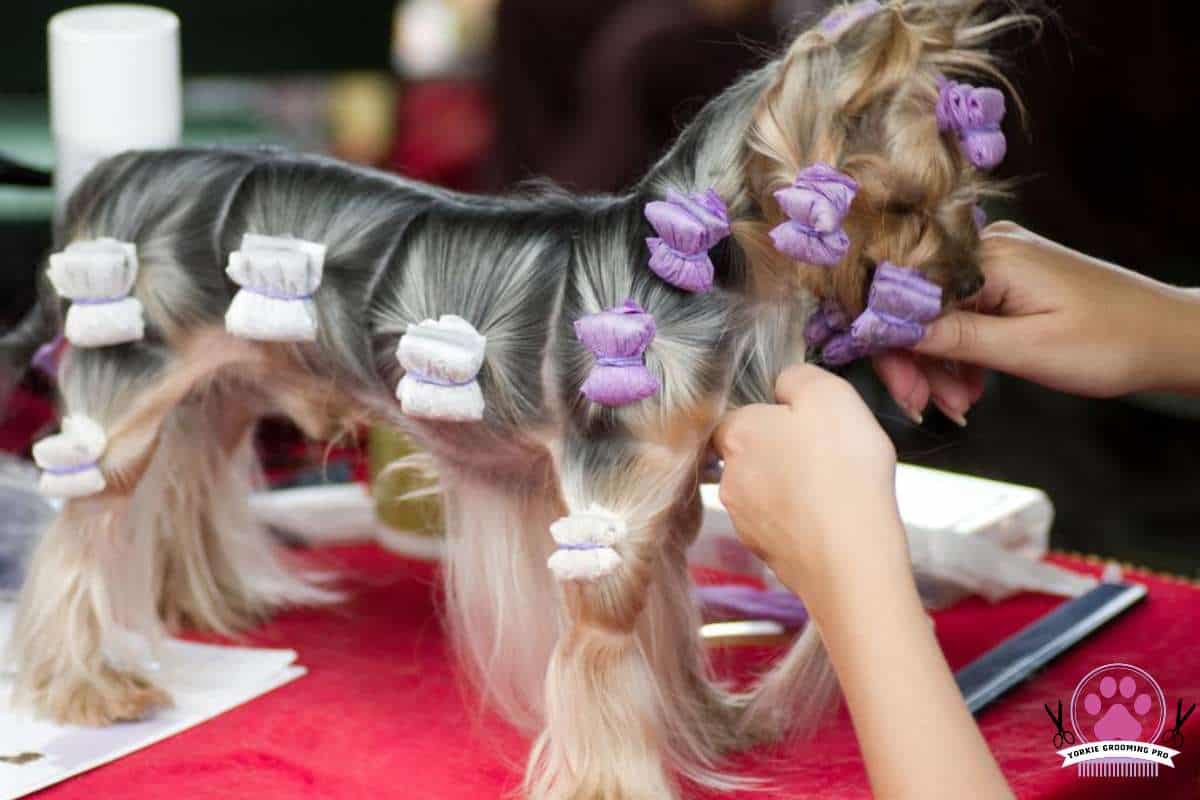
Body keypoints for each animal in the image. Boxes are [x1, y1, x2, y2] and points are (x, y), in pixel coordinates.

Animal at [2, 3, 1032, 796]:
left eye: (970, 191)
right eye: (903, 206)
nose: (974, 282)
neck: (696, 263)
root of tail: (109, 176)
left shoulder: (658, 508)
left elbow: (667, 634)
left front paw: (706, 724)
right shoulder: (610, 514)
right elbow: (607, 661)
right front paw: (619, 780)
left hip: (225, 383)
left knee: (194, 474)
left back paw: (214, 601)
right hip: (126, 391)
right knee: (81, 532)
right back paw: (89, 685)